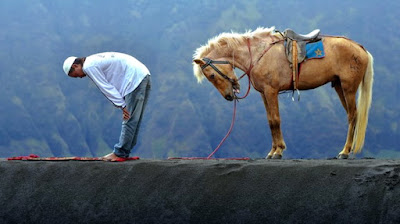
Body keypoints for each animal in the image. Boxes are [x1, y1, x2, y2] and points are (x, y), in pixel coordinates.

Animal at [192, 26, 374, 159]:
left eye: (211, 75)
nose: (229, 96)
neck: (257, 53)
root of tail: (361, 48)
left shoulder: (271, 91)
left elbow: (275, 120)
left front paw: (278, 151)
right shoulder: (264, 93)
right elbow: (270, 120)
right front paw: (273, 150)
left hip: (348, 87)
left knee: (352, 115)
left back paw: (345, 151)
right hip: (339, 86)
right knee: (352, 114)